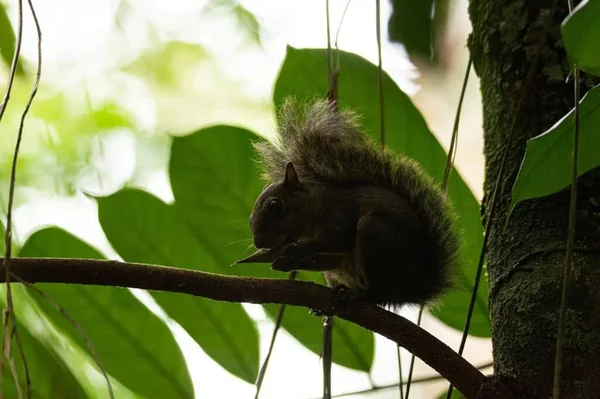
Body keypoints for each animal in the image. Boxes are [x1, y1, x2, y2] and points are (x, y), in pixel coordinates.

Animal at [244, 98, 460, 308]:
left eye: (275, 205)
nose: (259, 242)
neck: (314, 206)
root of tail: (416, 287)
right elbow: (323, 259)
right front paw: (286, 261)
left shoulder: (340, 216)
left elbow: (338, 239)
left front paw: (297, 250)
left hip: (376, 235)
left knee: (379, 295)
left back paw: (358, 294)